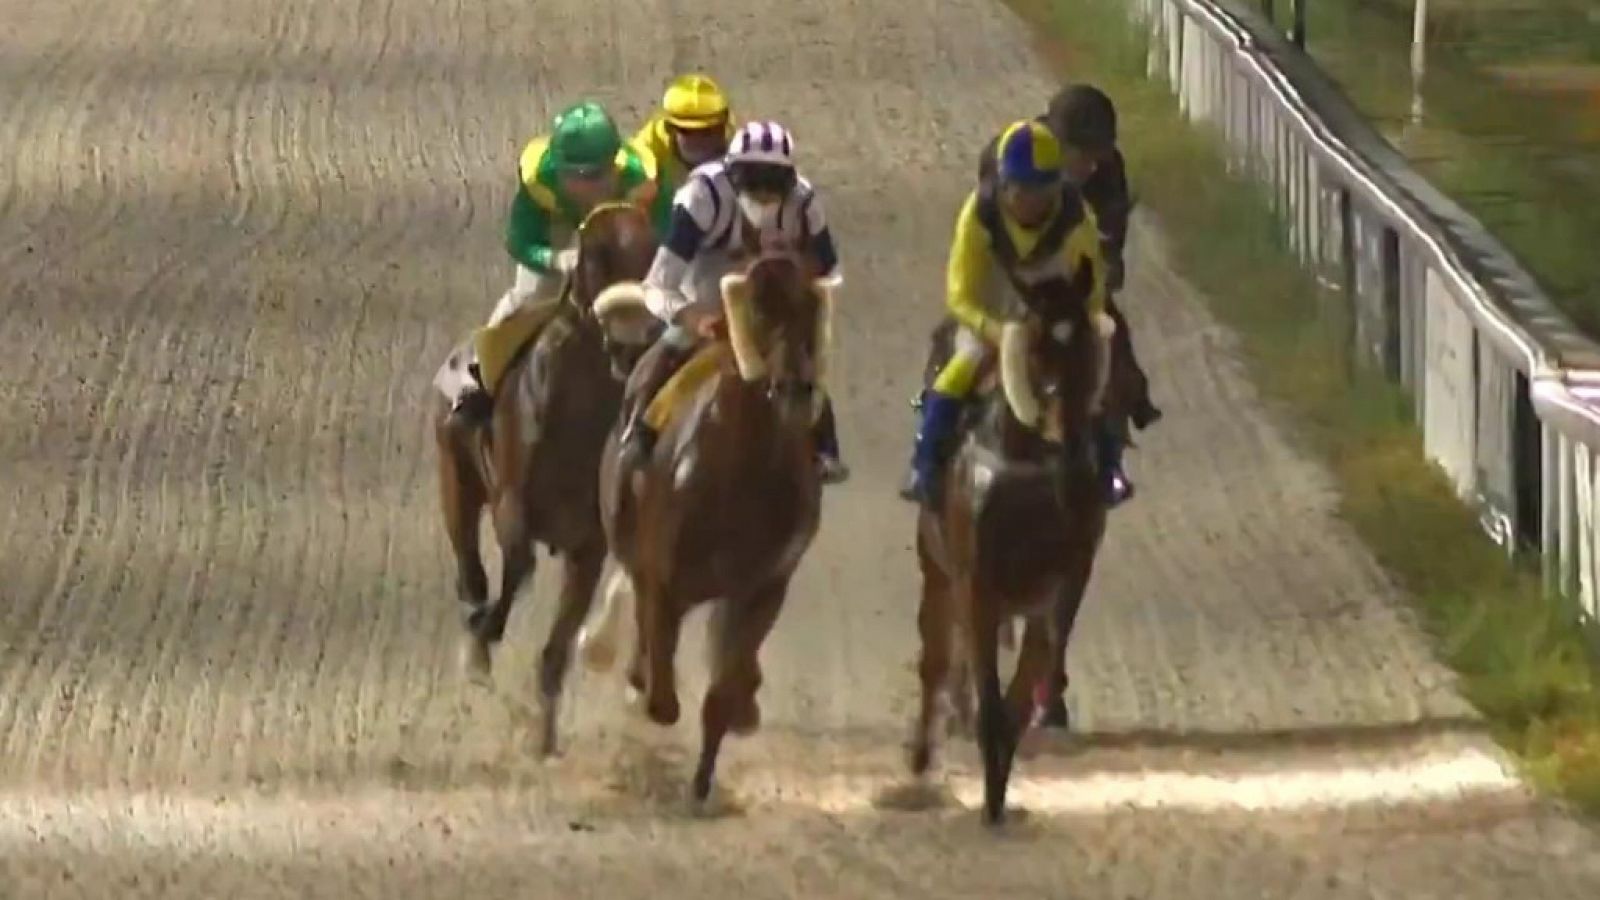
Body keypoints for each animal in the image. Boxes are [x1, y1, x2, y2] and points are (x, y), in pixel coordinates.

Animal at [428, 201, 659, 749]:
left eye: (650, 254)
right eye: (594, 255)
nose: (630, 340)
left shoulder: (590, 543)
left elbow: (560, 642)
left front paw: (544, 735)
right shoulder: (513, 504)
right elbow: (517, 568)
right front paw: (482, 640)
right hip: (456, 478)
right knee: (471, 568)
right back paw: (475, 628)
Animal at [592, 248, 838, 800]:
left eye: (810, 309)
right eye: (758, 311)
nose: (794, 389)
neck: (739, 473)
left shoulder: (762, 587)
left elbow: (722, 693)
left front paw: (704, 779)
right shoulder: (665, 581)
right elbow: (663, 697)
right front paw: (643, 685)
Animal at [915, 283, 1113, 826]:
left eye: (1088, 351)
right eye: (1037, 354)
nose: (1074, 458)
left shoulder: (1059, 588)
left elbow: (1023, 693)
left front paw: (1002, 778)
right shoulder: (976, 585)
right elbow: (985, 690)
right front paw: (990, 796)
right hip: (937, 570)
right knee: (935, 661)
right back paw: (923, 758)